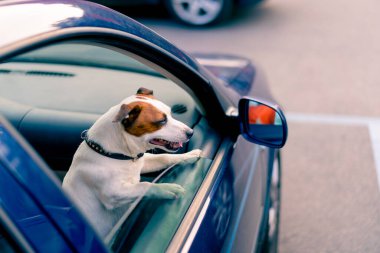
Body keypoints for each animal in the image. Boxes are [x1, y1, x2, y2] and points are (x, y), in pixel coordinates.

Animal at [63, 87, 202, 237]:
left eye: (170, 114)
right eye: (161, 121)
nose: (191, 132)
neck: (114, 154)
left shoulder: (143, 162)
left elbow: (164, 157)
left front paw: (189, 155)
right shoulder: (112, 193)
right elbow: (144, 185)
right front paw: (165, 188)